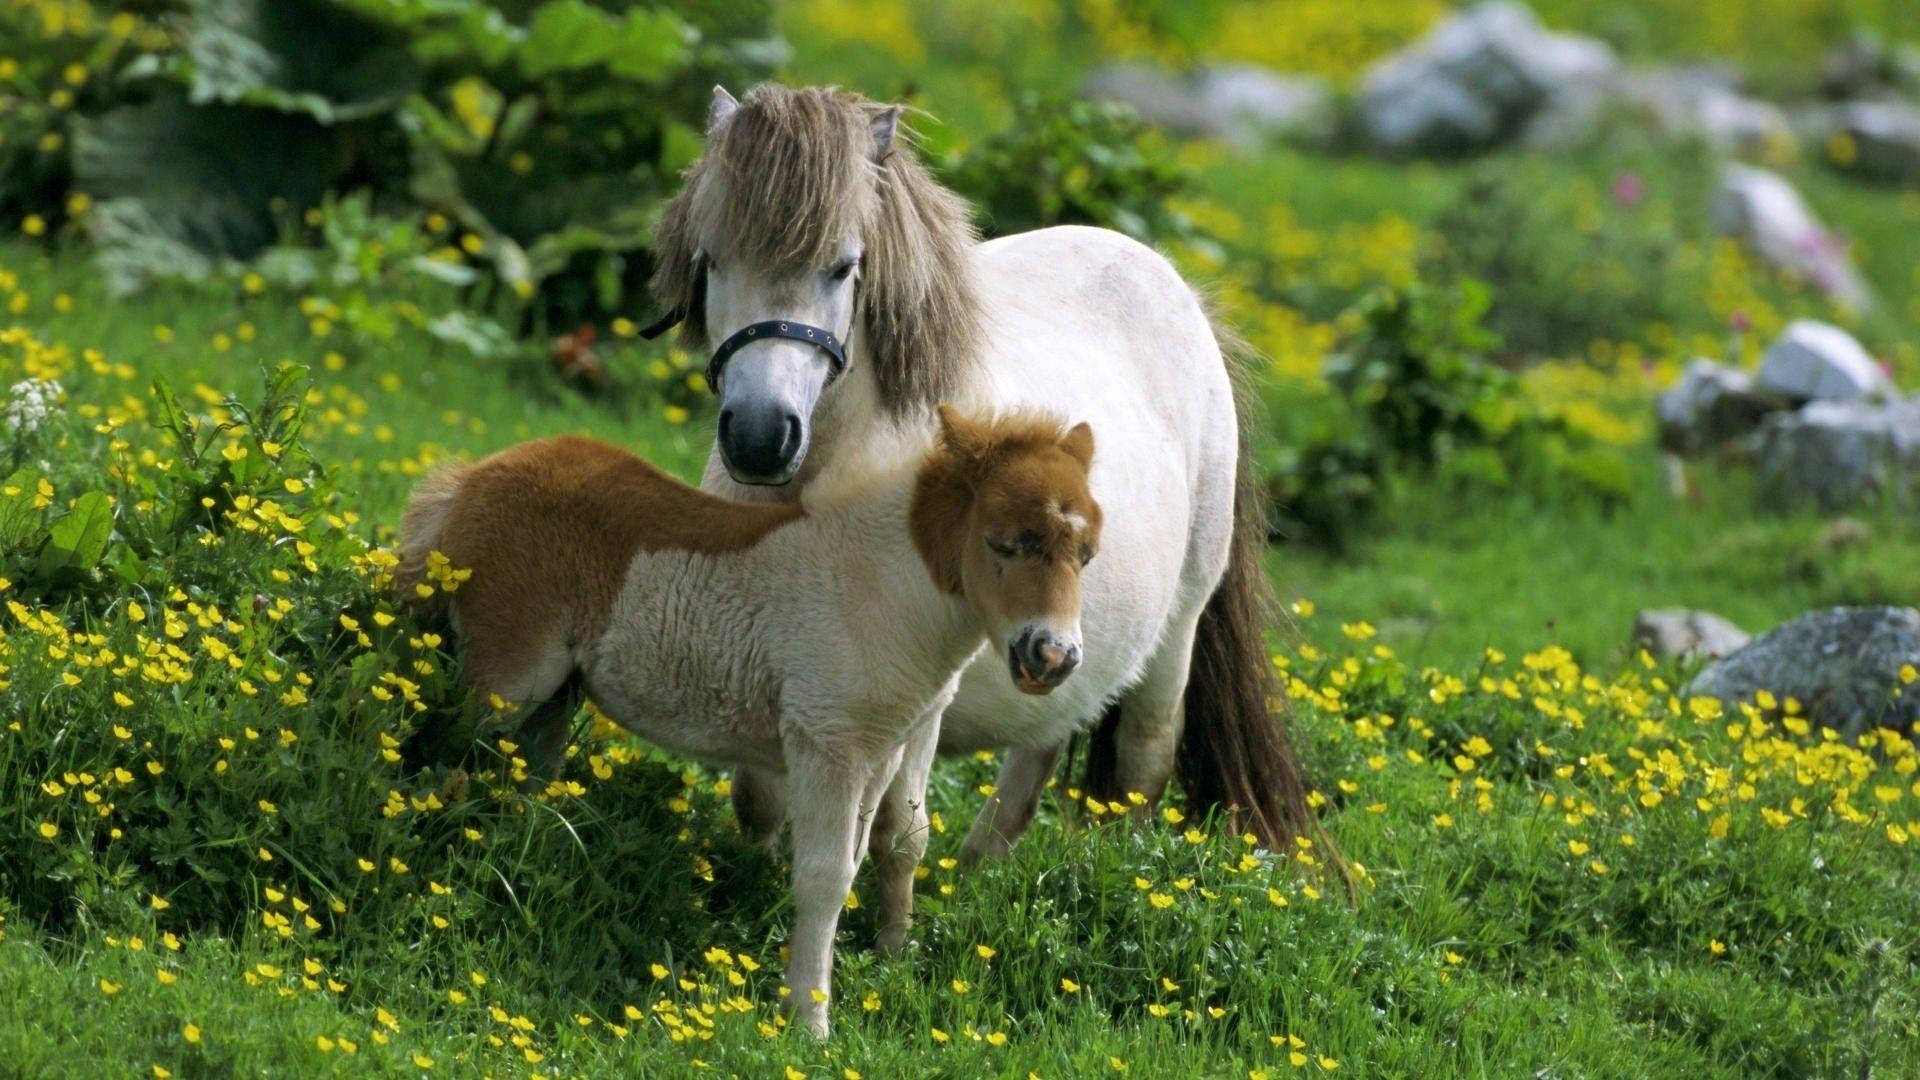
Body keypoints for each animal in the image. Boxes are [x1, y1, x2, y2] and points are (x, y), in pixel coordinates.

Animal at [397, 405, 1105, 1037]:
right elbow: (823, 877)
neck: (882, 588)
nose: (1053, 657)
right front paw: (809, 1022)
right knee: (440, 755)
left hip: (556, 695)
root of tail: (473, 476)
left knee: (525, 777)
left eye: (1088, 555)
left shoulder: (878, 751)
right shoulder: (826, 744)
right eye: (1003, 543)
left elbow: (869, 856)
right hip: (507, 680)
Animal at [652, 84, 1328, 857]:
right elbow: (760, 798)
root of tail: (1180, 291)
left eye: (843, 266)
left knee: (1142, 761)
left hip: (1177, 629)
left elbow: (888, 825)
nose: (762, 437)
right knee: (1039, 751)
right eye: (711, 260)